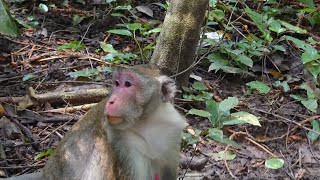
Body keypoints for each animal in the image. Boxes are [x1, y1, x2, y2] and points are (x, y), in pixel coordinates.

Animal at [5, 65, 188, 180]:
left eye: (128, 84)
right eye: (117, 83)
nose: (111, 101)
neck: (146, 122)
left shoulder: (171, 131)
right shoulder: (121, 142)